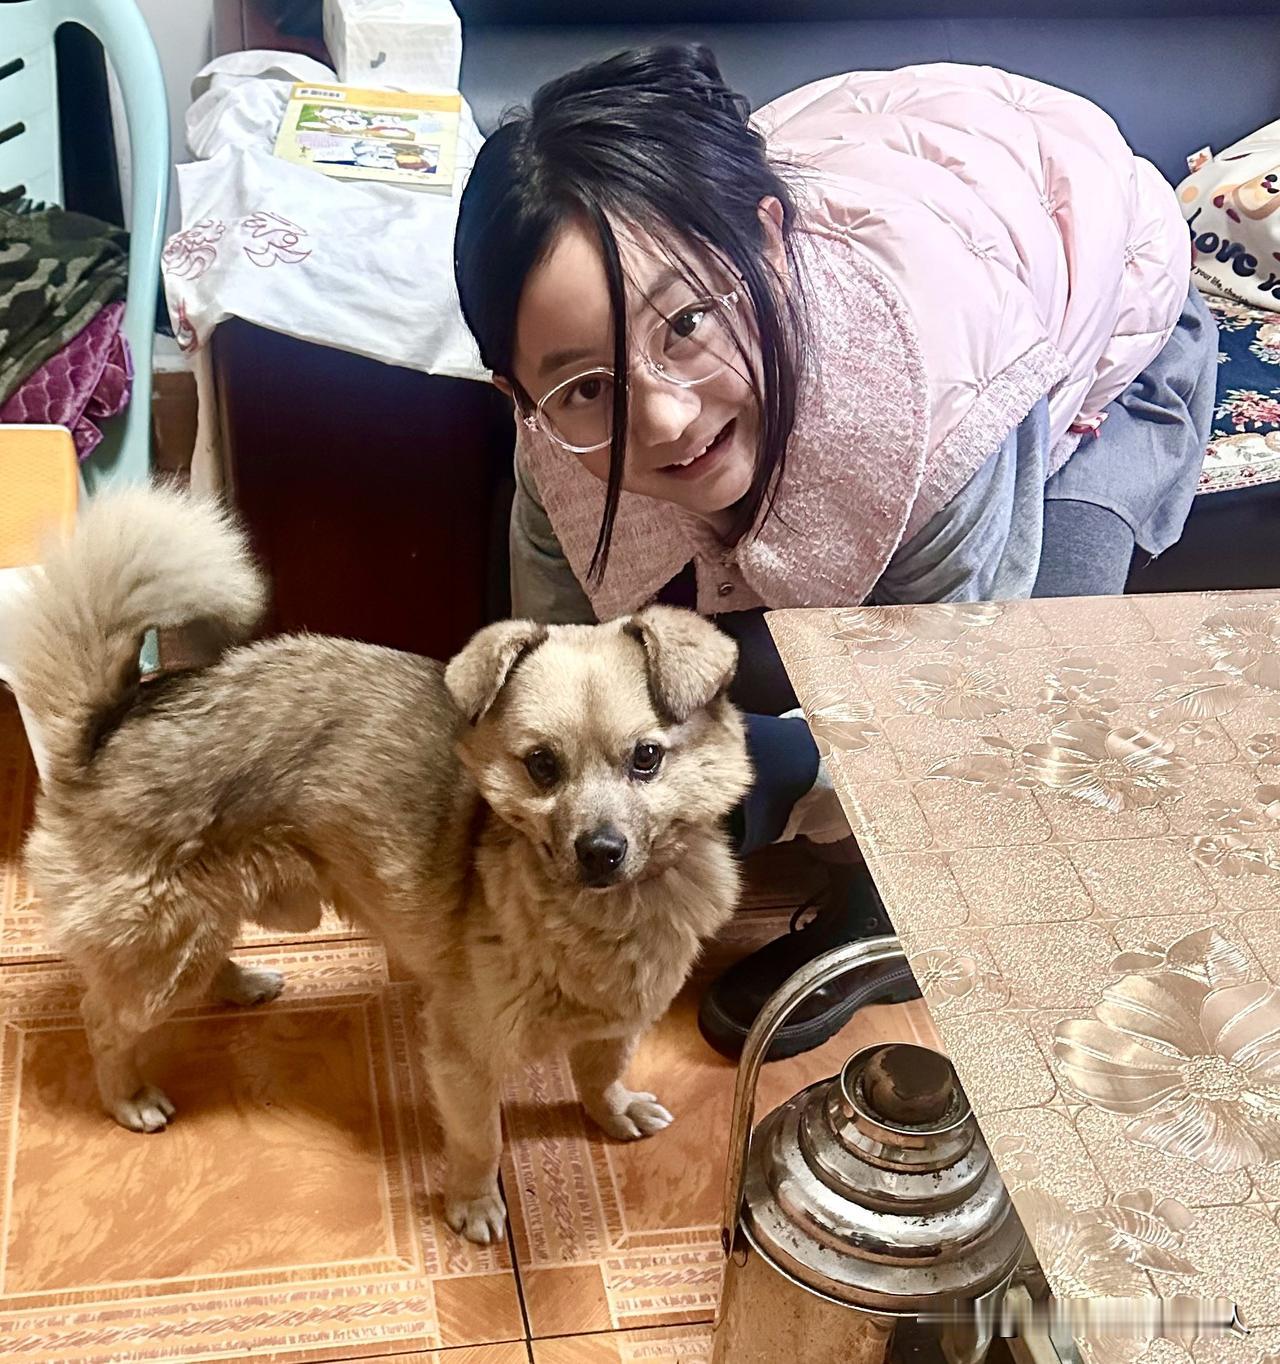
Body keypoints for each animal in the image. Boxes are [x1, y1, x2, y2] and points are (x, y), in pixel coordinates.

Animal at [10, 487, 751, 1244]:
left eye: (647, 757)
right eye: (542, 765)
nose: (600, 851)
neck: (604, 916)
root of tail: (102, 732)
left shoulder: (616, 1021)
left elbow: (601, 1073)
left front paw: (615, 1109)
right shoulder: (464, 1052)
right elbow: (480, 1138)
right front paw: (474, 1203)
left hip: (198, 923)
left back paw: (239, 983)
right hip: (164, 943)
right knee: (103, 1017)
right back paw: (127, 1095)